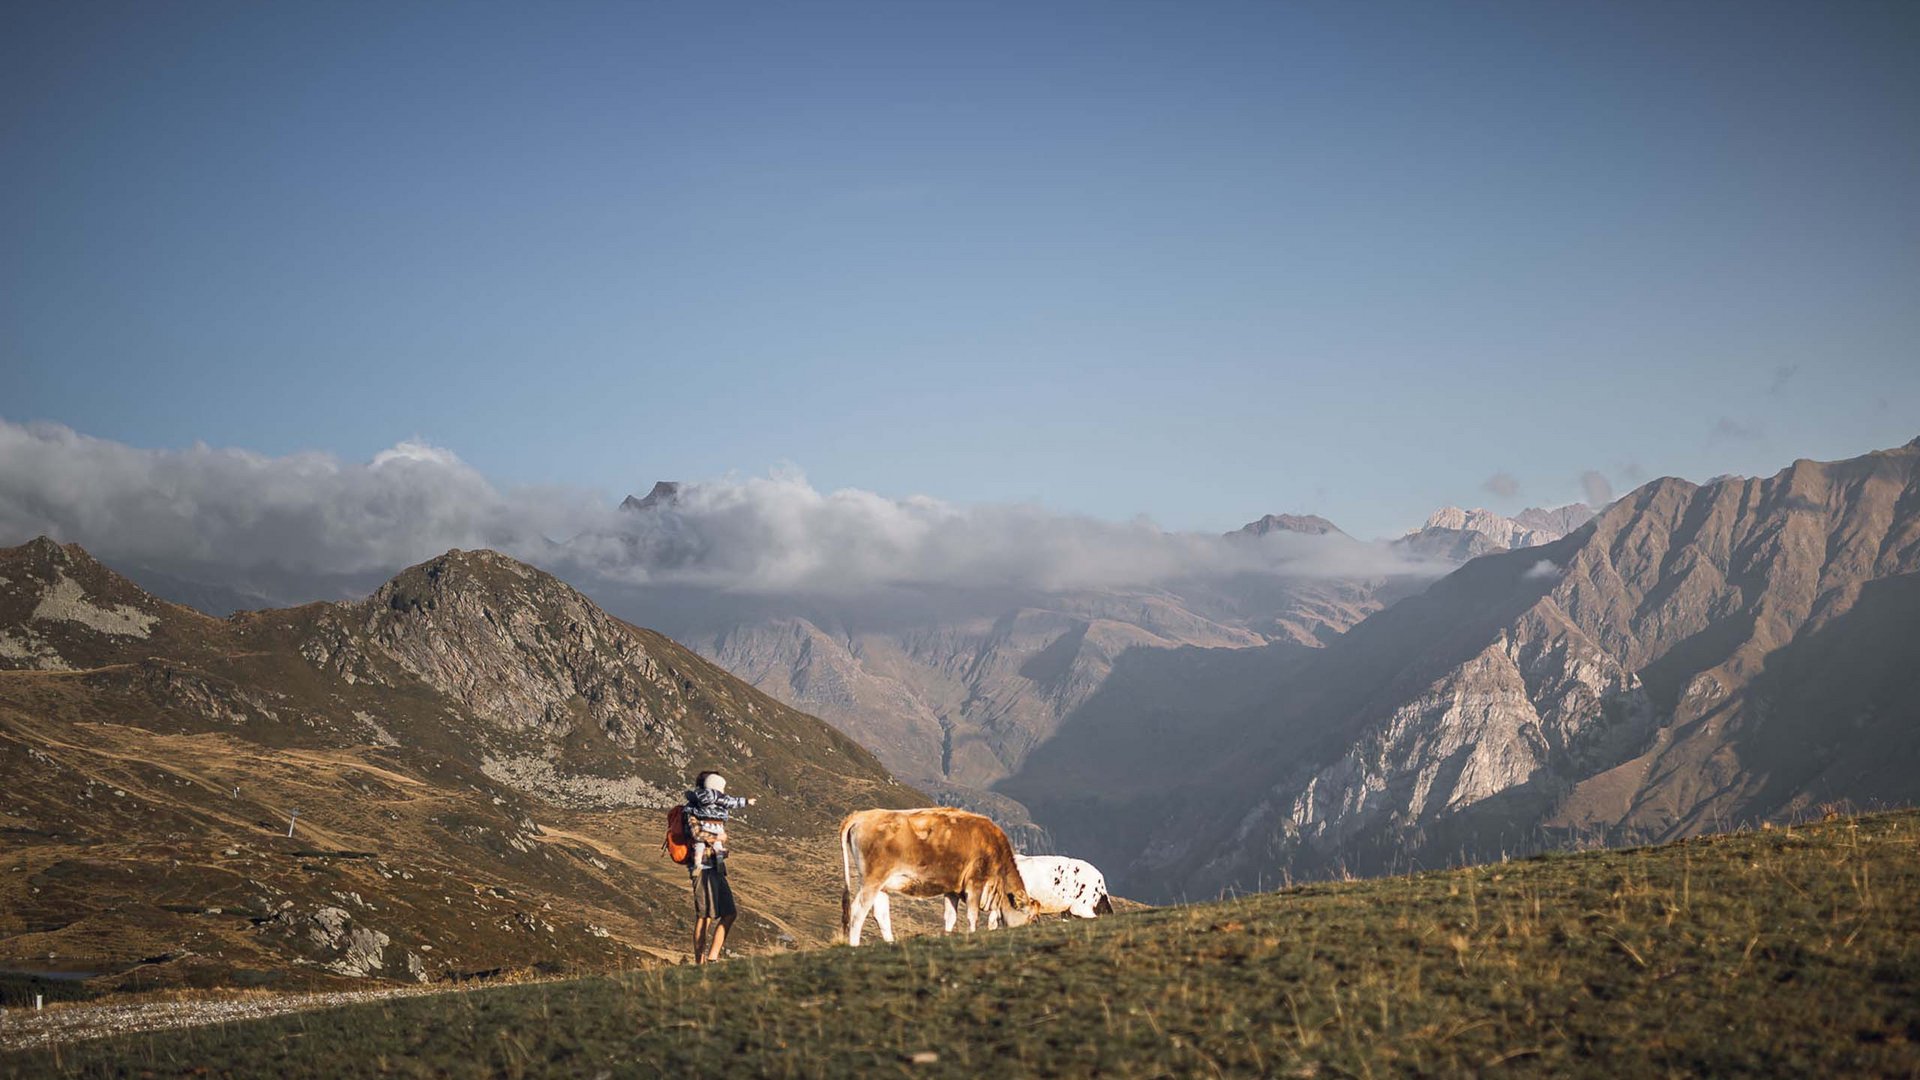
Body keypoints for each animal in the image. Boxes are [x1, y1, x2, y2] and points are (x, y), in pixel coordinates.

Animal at [840, 803, 1036, 937]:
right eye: (1032, 918)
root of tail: (862, 815)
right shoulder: (975, 883)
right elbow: (972, 916)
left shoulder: (952, 889)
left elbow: (950, 917)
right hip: (872, 880)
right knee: (857, 911)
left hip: (882, 885)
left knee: (880, 915)